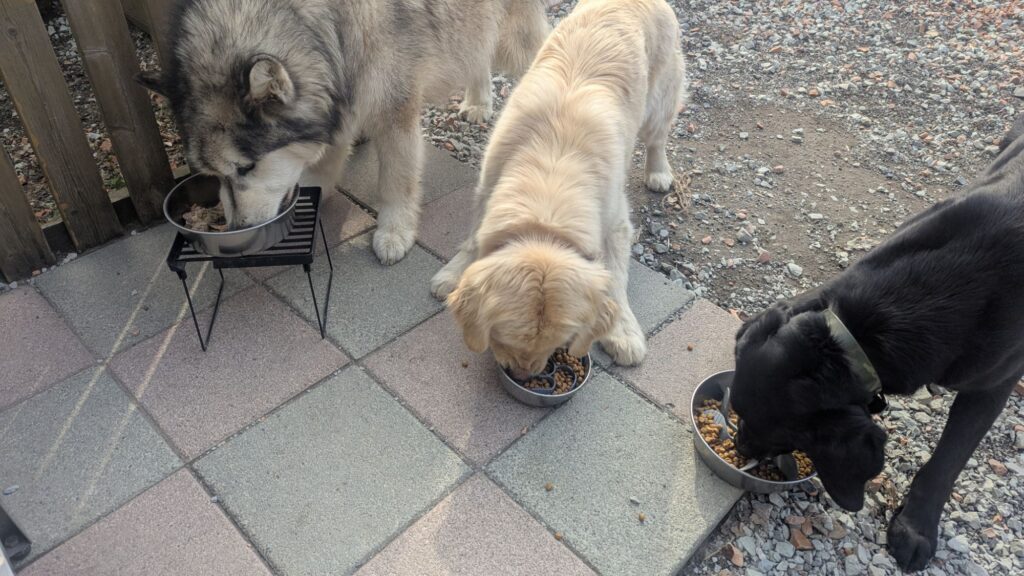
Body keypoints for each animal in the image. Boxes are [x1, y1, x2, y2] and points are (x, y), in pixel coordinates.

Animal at [137, 0, 550, 264]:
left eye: (246, 168)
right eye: (215, 176)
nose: (239, 231)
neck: (324, 31)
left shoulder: (393, 112)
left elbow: (396, 180)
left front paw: (395, 231)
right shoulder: (338, 106)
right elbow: (318, 170)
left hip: (514, 41)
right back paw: (479, 101)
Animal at [430, 0, 686, 377]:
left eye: (558, 343)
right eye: (504, 335)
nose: (525, 374)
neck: (551, 174)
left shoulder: (616, 223)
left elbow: (616, 277)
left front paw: (623, 333)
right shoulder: (487, 185)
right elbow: (473, 240)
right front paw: (453, 273)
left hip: (659, 101)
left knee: (657, 139)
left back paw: (658, 173)